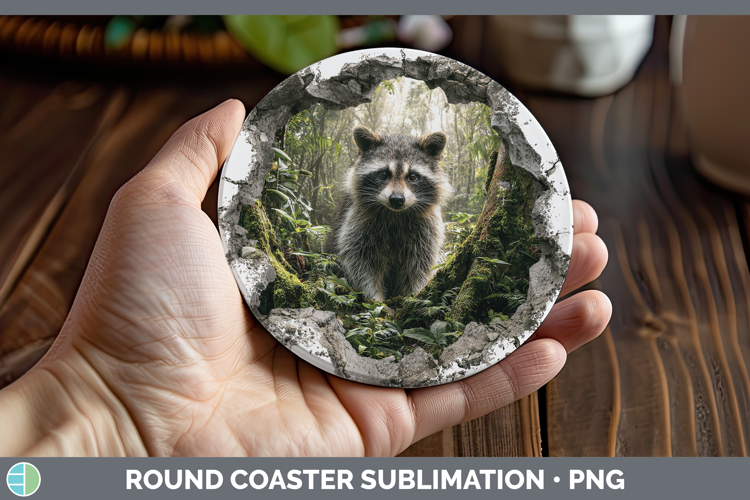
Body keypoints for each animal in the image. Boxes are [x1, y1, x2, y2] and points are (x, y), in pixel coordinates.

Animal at [325, 126, 452, 301]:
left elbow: (420, 265)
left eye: (413, 176)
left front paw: (415, 294)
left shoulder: (427, 228)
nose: (397, 200)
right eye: (383, 174)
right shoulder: (357, 221)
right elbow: (360, 262)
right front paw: (375, 298)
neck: (396, 214)